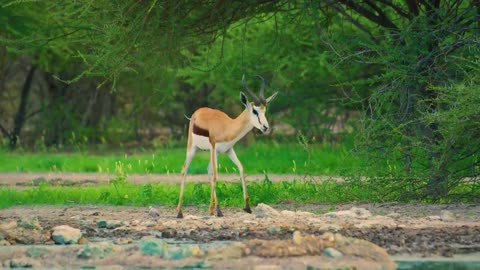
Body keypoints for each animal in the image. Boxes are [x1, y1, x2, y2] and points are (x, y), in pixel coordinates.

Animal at [176, 75, 278, 218]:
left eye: (265, 110)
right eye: (254, 111)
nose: (265, 127)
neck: (227, 126)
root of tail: (196, 113)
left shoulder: (228, 150)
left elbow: (241, 169)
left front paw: (247, 207)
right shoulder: (214, 148)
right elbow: (215, 176)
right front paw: (216, 210)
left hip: (213, 153)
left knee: (208, 170)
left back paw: (214, 210)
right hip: (193, 148)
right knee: (184, 170)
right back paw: (180, 212)